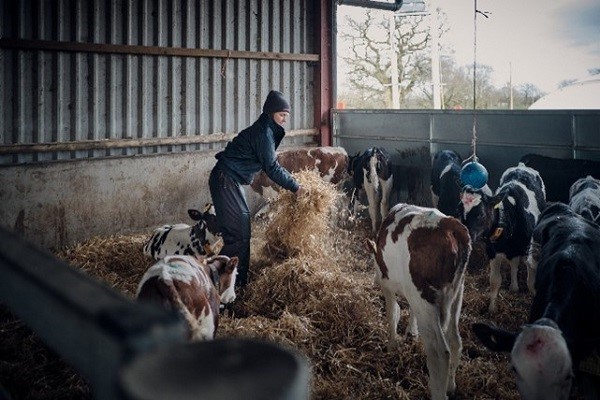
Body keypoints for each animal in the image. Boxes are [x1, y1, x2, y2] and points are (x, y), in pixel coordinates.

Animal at [366, 205, 474, 398]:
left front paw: (392, 346)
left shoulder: (388, 286)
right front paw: (412, 332)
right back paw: (451, 386)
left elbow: (392, 314)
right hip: (456, 294)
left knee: (439, 353)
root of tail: (448, 224)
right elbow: (410, 311)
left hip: (424, 296)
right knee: (455, 341)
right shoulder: (412, 295)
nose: (374, 279)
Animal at [458, 162, 548, 312]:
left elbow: (530, 282)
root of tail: (521, 167)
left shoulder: (529, 251)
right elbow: (495, 280)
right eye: (459, 212)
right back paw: (514, 286)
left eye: (481, 214)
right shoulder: (492, 252)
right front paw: (492, 309)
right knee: (514, 263)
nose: (465, 235)